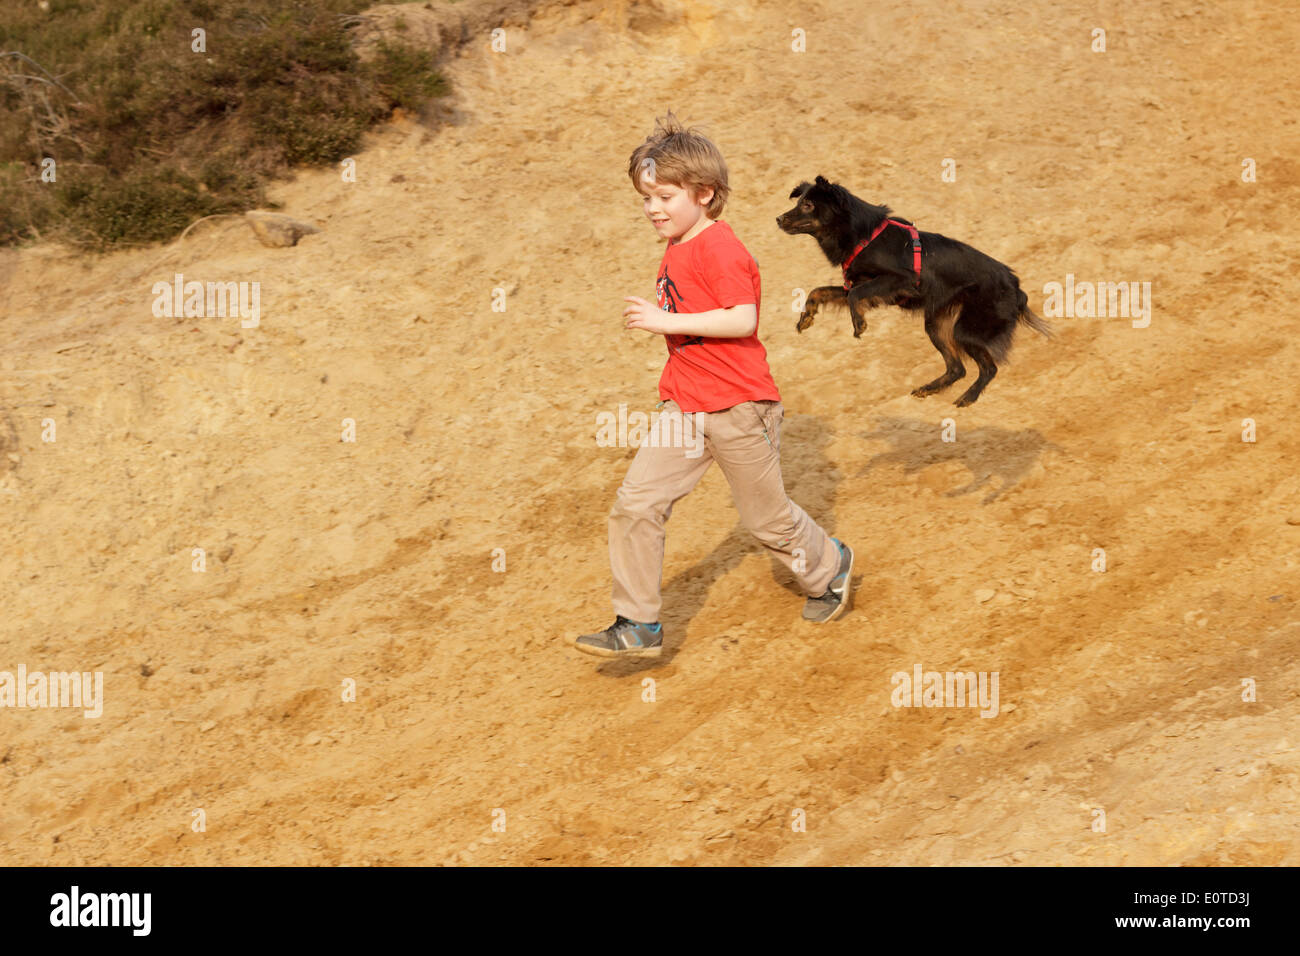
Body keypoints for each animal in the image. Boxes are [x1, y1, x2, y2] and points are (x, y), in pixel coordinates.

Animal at [774, 178, 1050, 405]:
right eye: (799, 201)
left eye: (808, 204)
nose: (778, 219)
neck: (862, 235)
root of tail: (1016, 288)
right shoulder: (860, 284)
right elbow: (818, 291)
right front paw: (806, 317)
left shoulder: (900, 279)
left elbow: (854, 297)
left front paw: (859, 324)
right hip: (936, 324)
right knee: (957, 368)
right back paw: (928, 389)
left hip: (966, 329)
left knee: (988, 368)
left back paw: (967, 398)